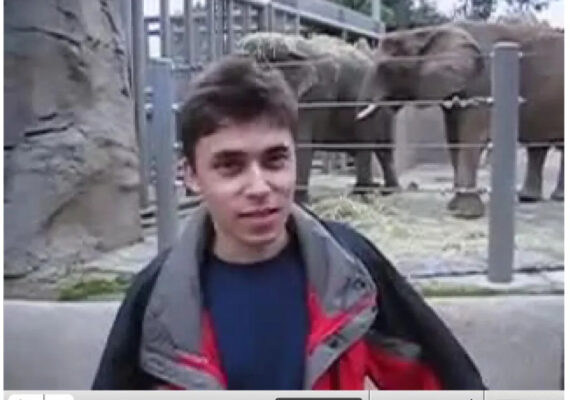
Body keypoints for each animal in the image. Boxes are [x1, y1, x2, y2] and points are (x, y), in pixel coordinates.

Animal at [358, 21, 564, 218]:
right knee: (538, 146)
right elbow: (453, 137)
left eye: (385, 68)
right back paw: (530, 198)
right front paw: (454, 207)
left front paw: (466, 213)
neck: (430, 31)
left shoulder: (483, 83)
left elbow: (471, 138)